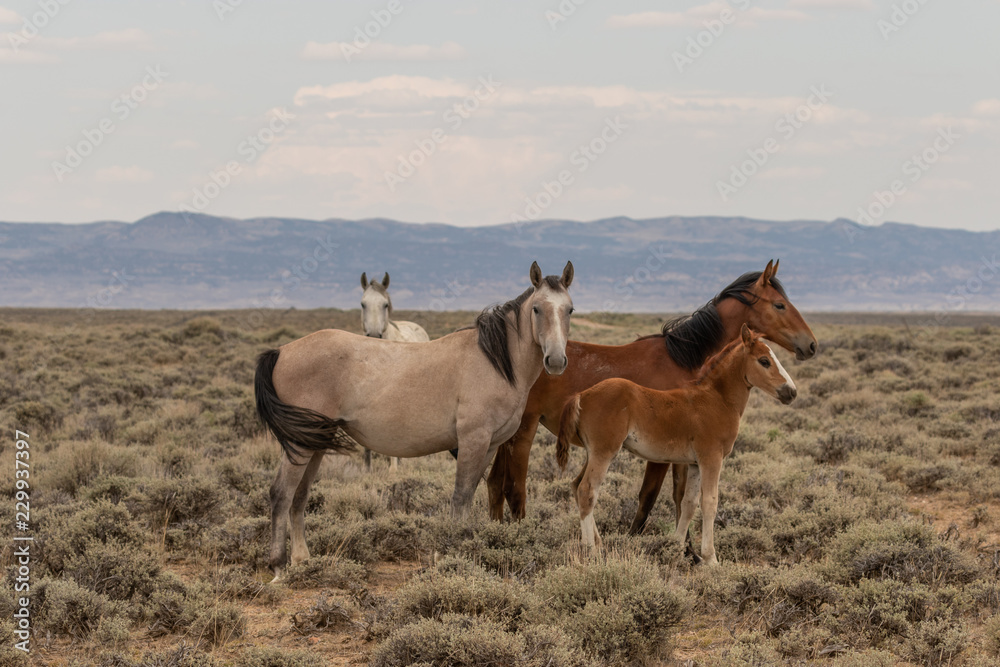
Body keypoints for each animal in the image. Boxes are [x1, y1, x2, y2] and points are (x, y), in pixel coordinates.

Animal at [486, 260, 817, 537]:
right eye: (780, 305)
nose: (811, 345)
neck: (684, 359)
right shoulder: (661, 451)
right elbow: (649, 497)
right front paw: (638, 539)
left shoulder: (684, 451)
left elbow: (681, 497)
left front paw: (684, 546)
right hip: (525, 431)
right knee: (515, 488)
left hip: (507, 435)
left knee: (494, 483)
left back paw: (494, 534)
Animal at [557, 324, 797, 564]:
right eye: (764, 361)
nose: (791, 392)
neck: (716, 400)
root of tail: (582, 395)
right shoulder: (712, 458)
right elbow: (710, 502)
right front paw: (711, 558)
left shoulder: (695, 463)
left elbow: (688, 503)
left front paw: (676, 547)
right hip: (604, 452)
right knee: (587, 491)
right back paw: (591, 550)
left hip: (593, 453)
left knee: (577, 486)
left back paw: (599, 545)